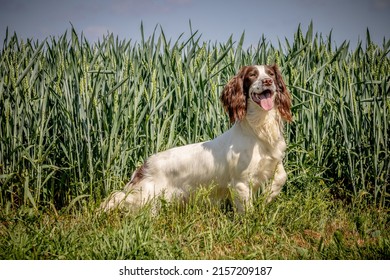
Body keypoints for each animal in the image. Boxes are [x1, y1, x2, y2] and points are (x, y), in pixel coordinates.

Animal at [102, 64, 290, 212]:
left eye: (271, 73)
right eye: (252, 75)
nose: (267, 81)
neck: (260, 129)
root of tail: (144, 166)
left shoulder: (274, 159)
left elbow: (282, 176)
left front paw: (268, 196)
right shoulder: (241, 182)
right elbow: (247, 209)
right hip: (145, 197)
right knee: (117, 198)